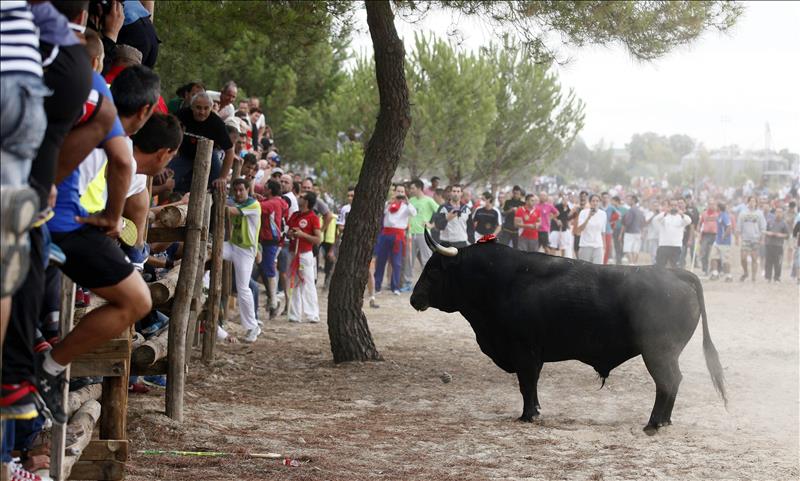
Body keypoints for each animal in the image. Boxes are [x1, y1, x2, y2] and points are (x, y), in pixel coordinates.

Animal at [410, 231, 728, 434]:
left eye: (434, 270)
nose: (414, 299)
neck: (501, 280)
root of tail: (675, 273)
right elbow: (531, 386)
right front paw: (535, 411)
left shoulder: (525, 352)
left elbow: (527, 385)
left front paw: (528, 416)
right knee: (672, 382)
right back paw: (664, 422)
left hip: (658, 353)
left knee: (668, 382)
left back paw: (653, 423)